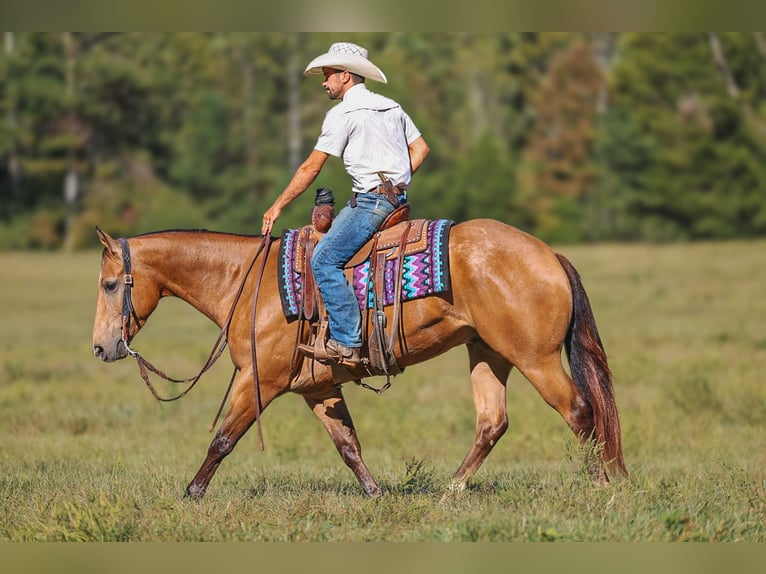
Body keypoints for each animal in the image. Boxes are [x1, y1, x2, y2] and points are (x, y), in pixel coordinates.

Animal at [92, 220, 627, 498]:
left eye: (110, 284)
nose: (102, 347)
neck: (248, 284)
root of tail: (550, 255)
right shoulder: (318, 388)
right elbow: (348, 445)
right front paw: (376, 494)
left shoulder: (257, 380)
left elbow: (223, 439)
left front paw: (191, 495)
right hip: (488, 353)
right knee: (492, 423)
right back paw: (451, 490)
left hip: (536, 358)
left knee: (581, 411)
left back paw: (601, 485)